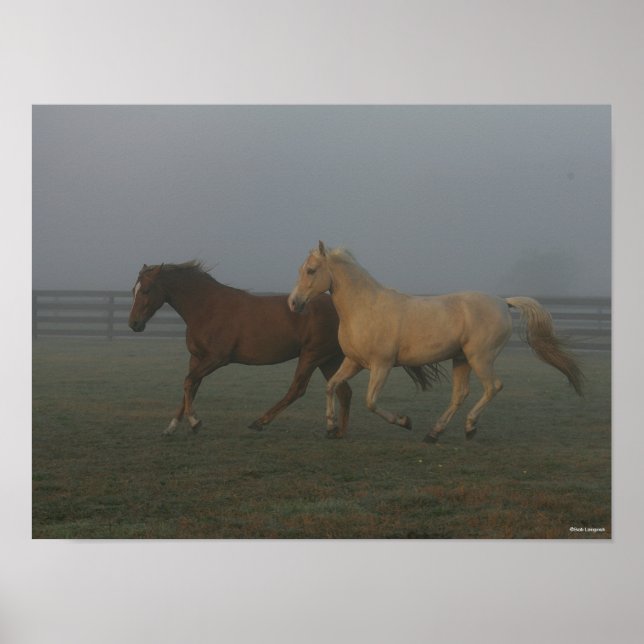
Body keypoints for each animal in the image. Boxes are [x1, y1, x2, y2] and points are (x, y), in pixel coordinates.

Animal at [127, 260, 354, 435]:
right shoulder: (197, 358)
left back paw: (259, 422)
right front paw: (172, 427)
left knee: (297, 389)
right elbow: (190, 387)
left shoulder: (217, 358)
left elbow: (188, 382)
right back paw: (337, 431)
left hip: (312, 355)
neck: (207, 308)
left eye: (146, 290)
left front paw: (195, 422)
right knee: (343, 391)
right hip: (328, 359)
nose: (134, 324)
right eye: (133, 290)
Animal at [288, 242, 584, 442]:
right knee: (460, 394)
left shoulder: (381, 365)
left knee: (493, 387)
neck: (366, 308)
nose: (293, 303)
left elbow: (370, 402)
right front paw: (330, 427)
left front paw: (405, 421)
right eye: (301, 269)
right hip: (461, 359)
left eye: (311, 270)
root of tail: (503, 302)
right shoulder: (353, 362)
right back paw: (434, 433)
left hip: (480, 358)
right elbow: (331, 386)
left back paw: (469, 427)